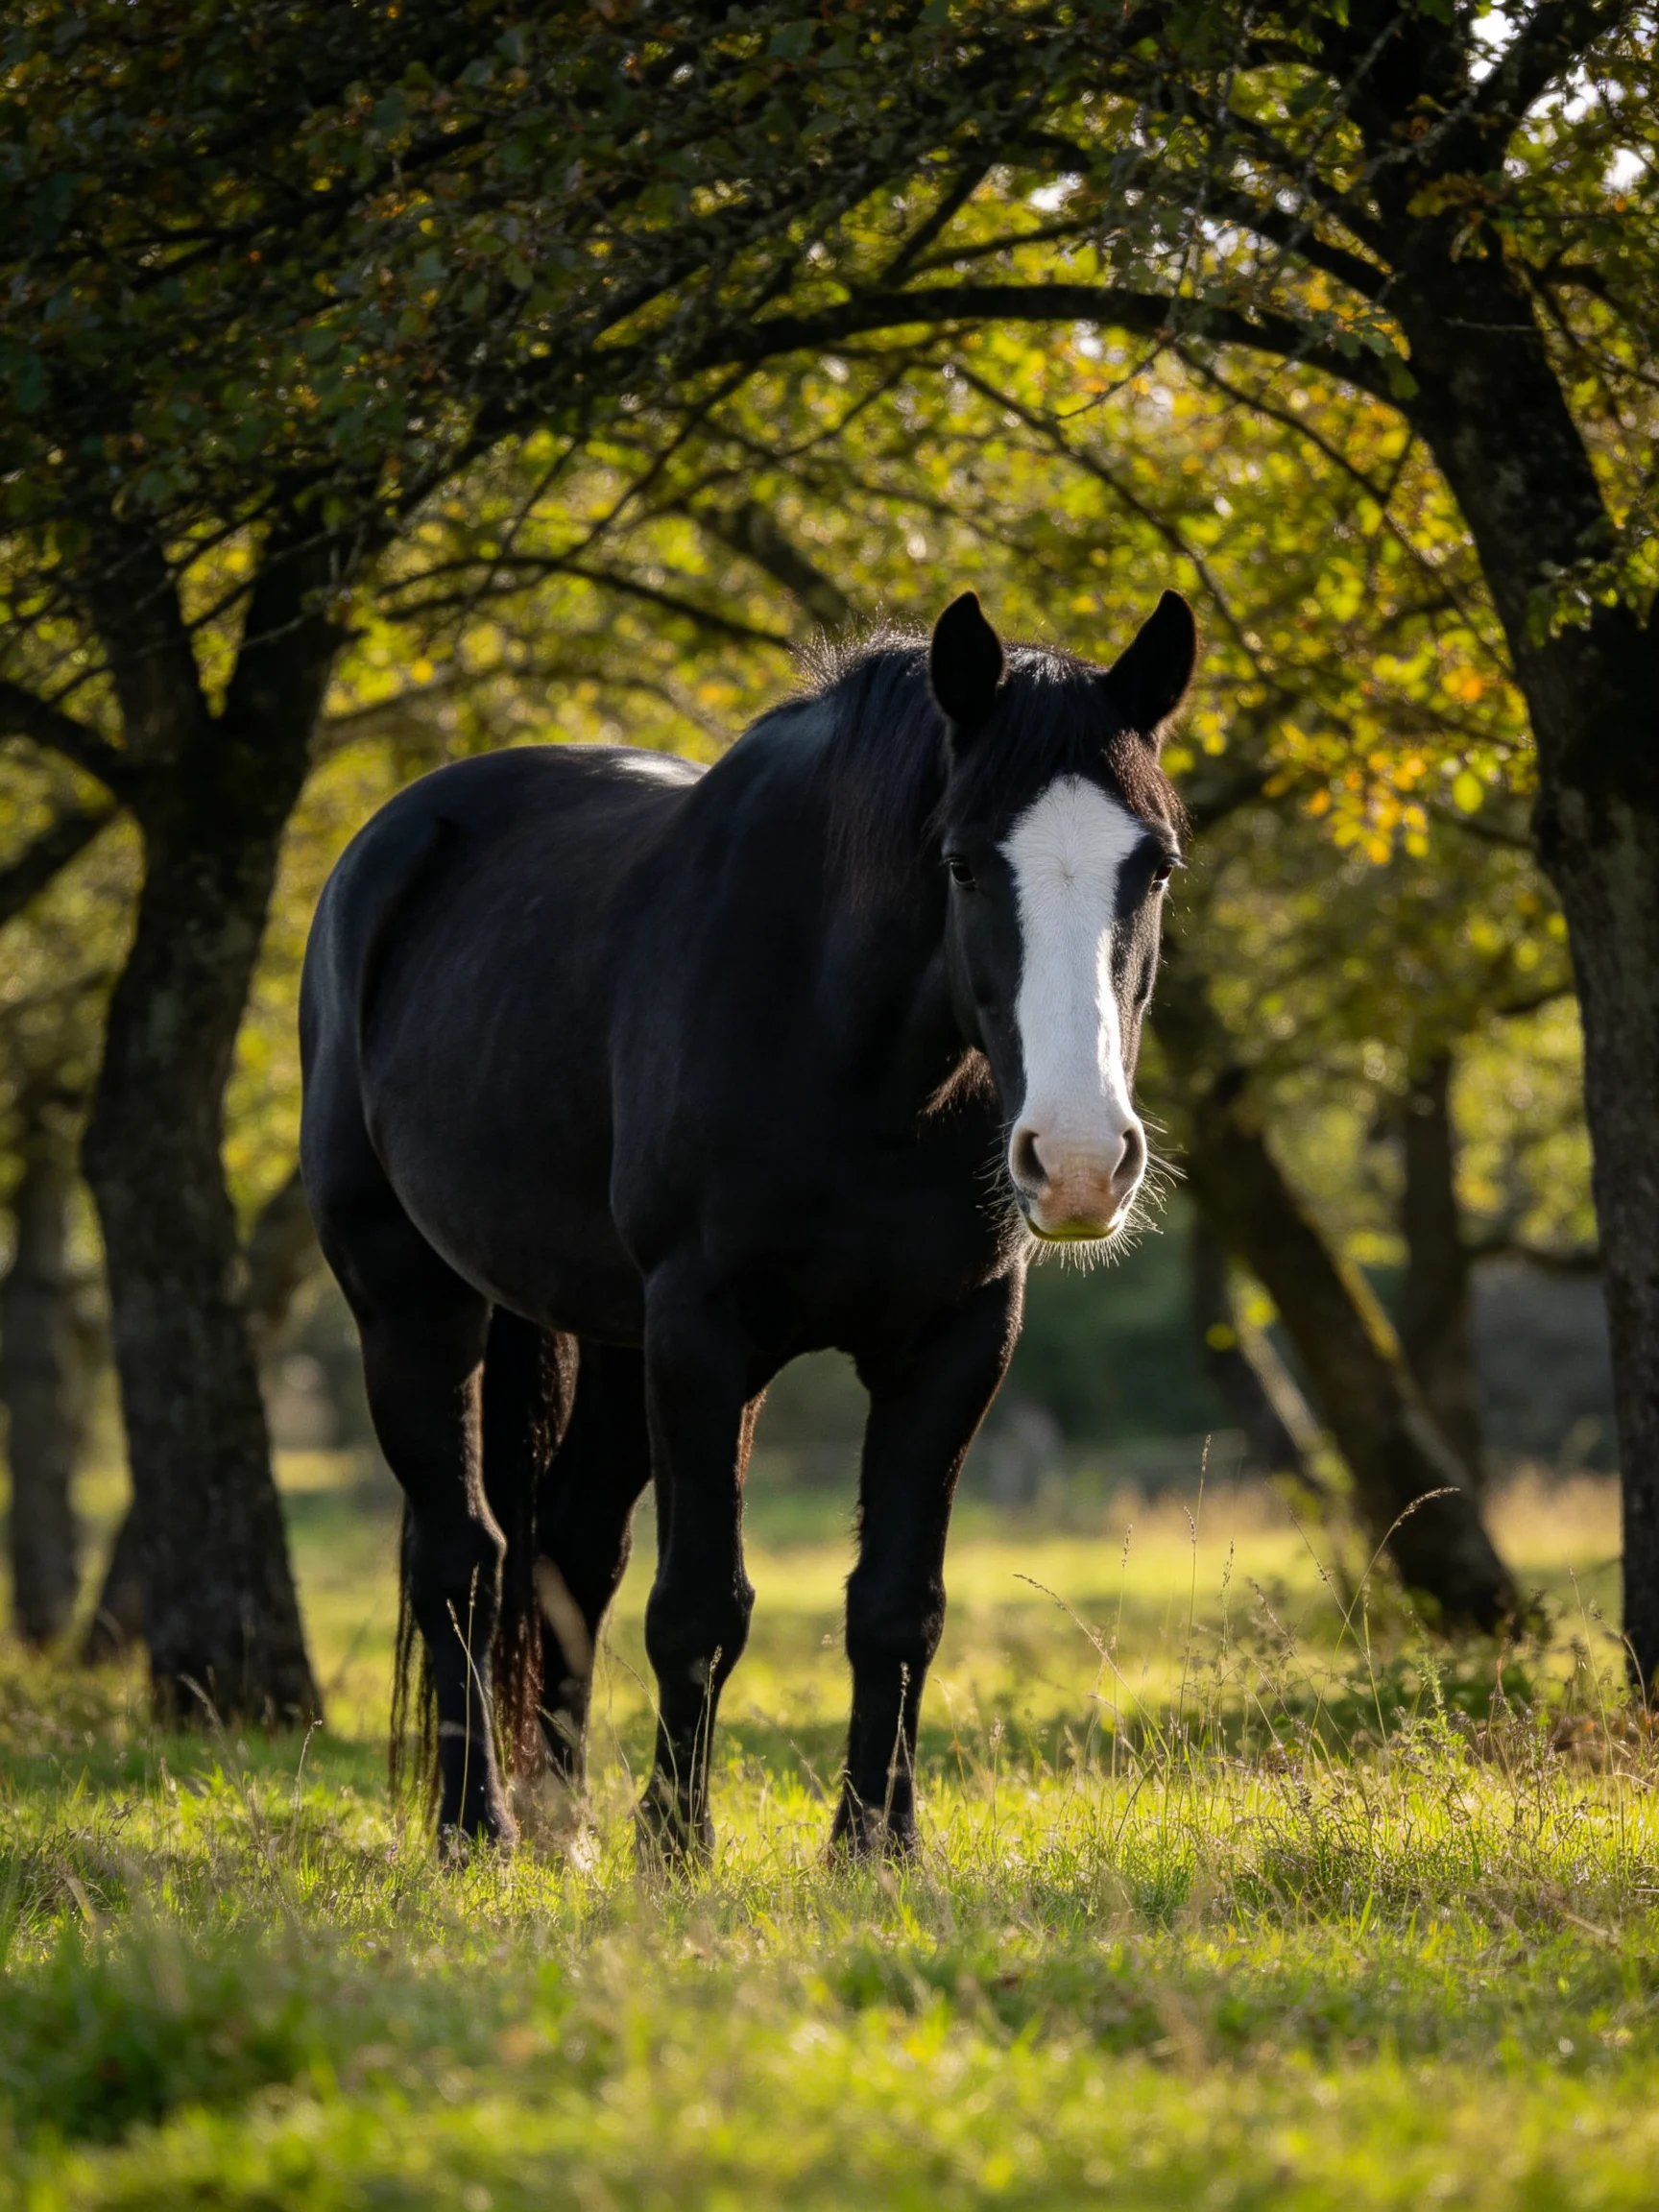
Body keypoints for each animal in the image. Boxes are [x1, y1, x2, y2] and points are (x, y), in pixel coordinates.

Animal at [298, 587, 1195, 1861]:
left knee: (569, 1549)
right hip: (411, 1300)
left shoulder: (956, 1341)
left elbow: (898, 1608)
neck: (852, 1055)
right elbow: (700, 1607)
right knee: (462, 1559)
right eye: (964, 866)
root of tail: (392, 845)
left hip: (608, 1337)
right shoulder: (705, 1334)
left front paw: (875, 1844)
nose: (1077, 1162)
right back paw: (479, 1827)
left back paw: (561, 1826)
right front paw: (675, 1849)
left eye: (1154, 866)